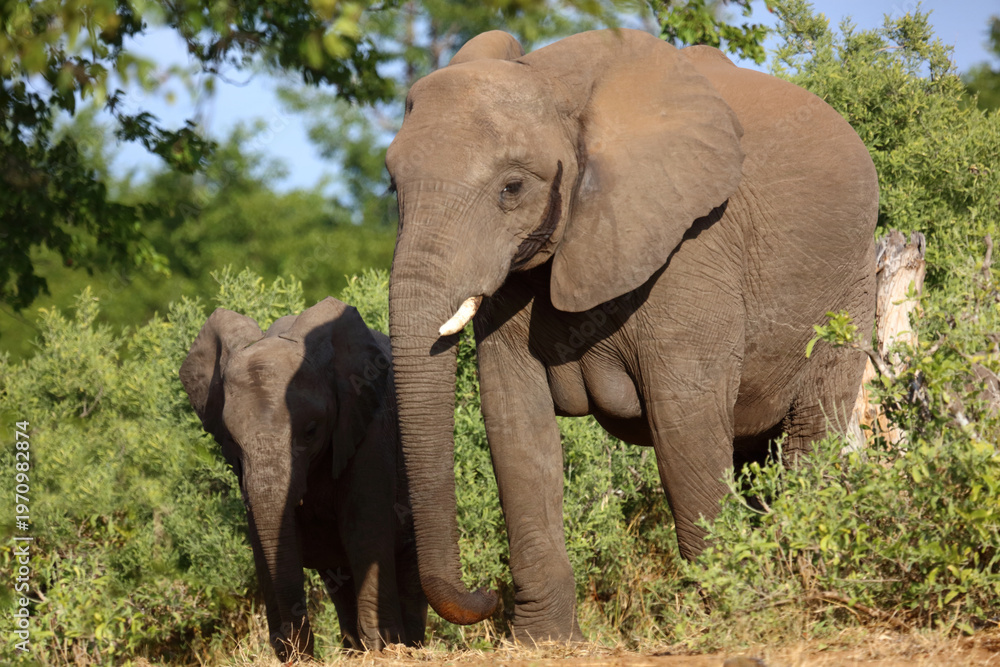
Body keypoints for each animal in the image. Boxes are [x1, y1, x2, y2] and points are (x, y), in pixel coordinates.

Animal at [179, 297, 426, 659]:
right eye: (232, 440)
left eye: (310, 431)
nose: (296, 650)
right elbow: (262, 542)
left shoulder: (369, 427)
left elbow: (363, 530)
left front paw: (383, 648)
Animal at [384, 29, 878, 642]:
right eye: (393, 188)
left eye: (512, 188)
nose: (486, 594)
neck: (559, 88)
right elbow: (515, 424)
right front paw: (544, 641)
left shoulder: (693, 244)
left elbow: (684, 416)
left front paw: (727, 617)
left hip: (851, 284)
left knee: (810, 431)